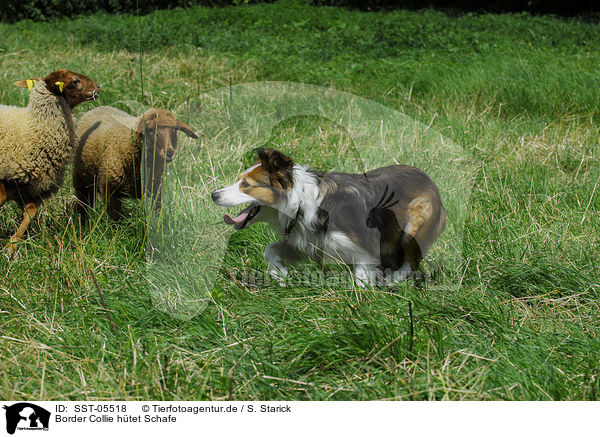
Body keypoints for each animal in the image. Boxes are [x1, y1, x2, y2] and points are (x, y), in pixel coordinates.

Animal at [0, 68, 101, 255]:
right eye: (75, 81)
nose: (97, 87)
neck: (36, 127)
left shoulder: (28, 189)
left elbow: (30, 212)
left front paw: (11, 246)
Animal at [212, 149, 446, 286]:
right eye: (239, 180)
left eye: (246, 185)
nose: (214, 195)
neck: (300, 202)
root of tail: (431, 182)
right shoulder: (307, 242)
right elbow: (271, 249)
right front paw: (280, 274)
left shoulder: (365, 252)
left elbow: (361, 282)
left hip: (412, 227)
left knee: (411, 261)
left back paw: (393, 281)